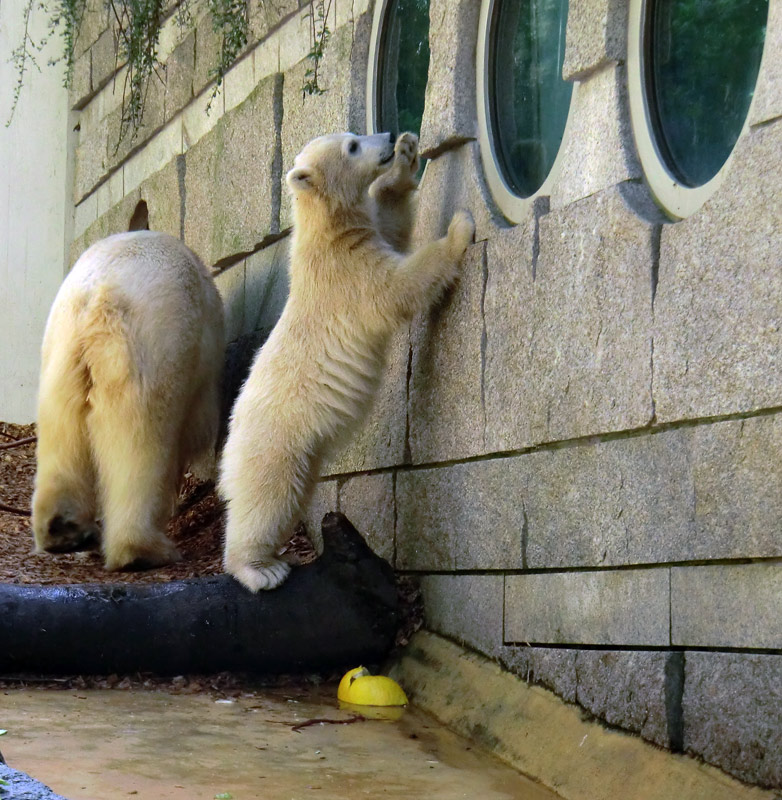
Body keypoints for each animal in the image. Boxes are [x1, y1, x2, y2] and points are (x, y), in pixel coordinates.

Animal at [33, 230, 224, 568]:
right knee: (141, 435)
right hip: (151, 340)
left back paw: (63, 530)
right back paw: (142, 549)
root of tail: (97, 292)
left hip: (62, 348)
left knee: (62, 426)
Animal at [220, 131, 478, 592]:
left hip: (303, 451)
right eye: (353, 146)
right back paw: (259, 569)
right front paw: (459, 228)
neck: (322, 230)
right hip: (275, 439)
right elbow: (397, 287)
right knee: (267, 497)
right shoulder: (347, 274)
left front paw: (405, 162)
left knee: (293, 494)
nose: (388, 137)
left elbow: (392, 229)